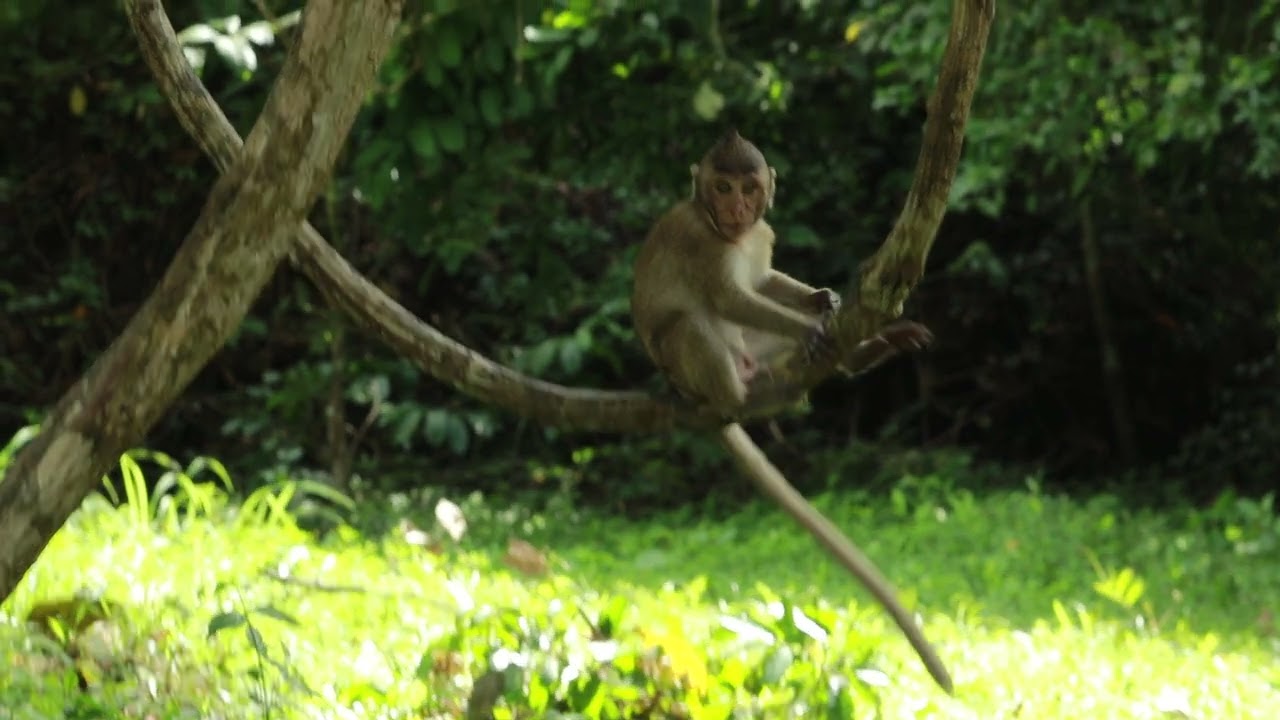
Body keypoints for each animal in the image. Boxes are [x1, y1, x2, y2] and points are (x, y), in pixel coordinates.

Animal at [630, 130, 951, 694]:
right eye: (721, 186)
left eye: (749, 187)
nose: (736, 207)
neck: (727, 232)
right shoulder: (700, 242)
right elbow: (731, 299)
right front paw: (815, 326)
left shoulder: (761, 234)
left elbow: (761, 285)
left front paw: (823, 300)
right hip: (686, 368)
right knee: (691, 322)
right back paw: (737, 397)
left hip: (755, 355)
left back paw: (857, 355)